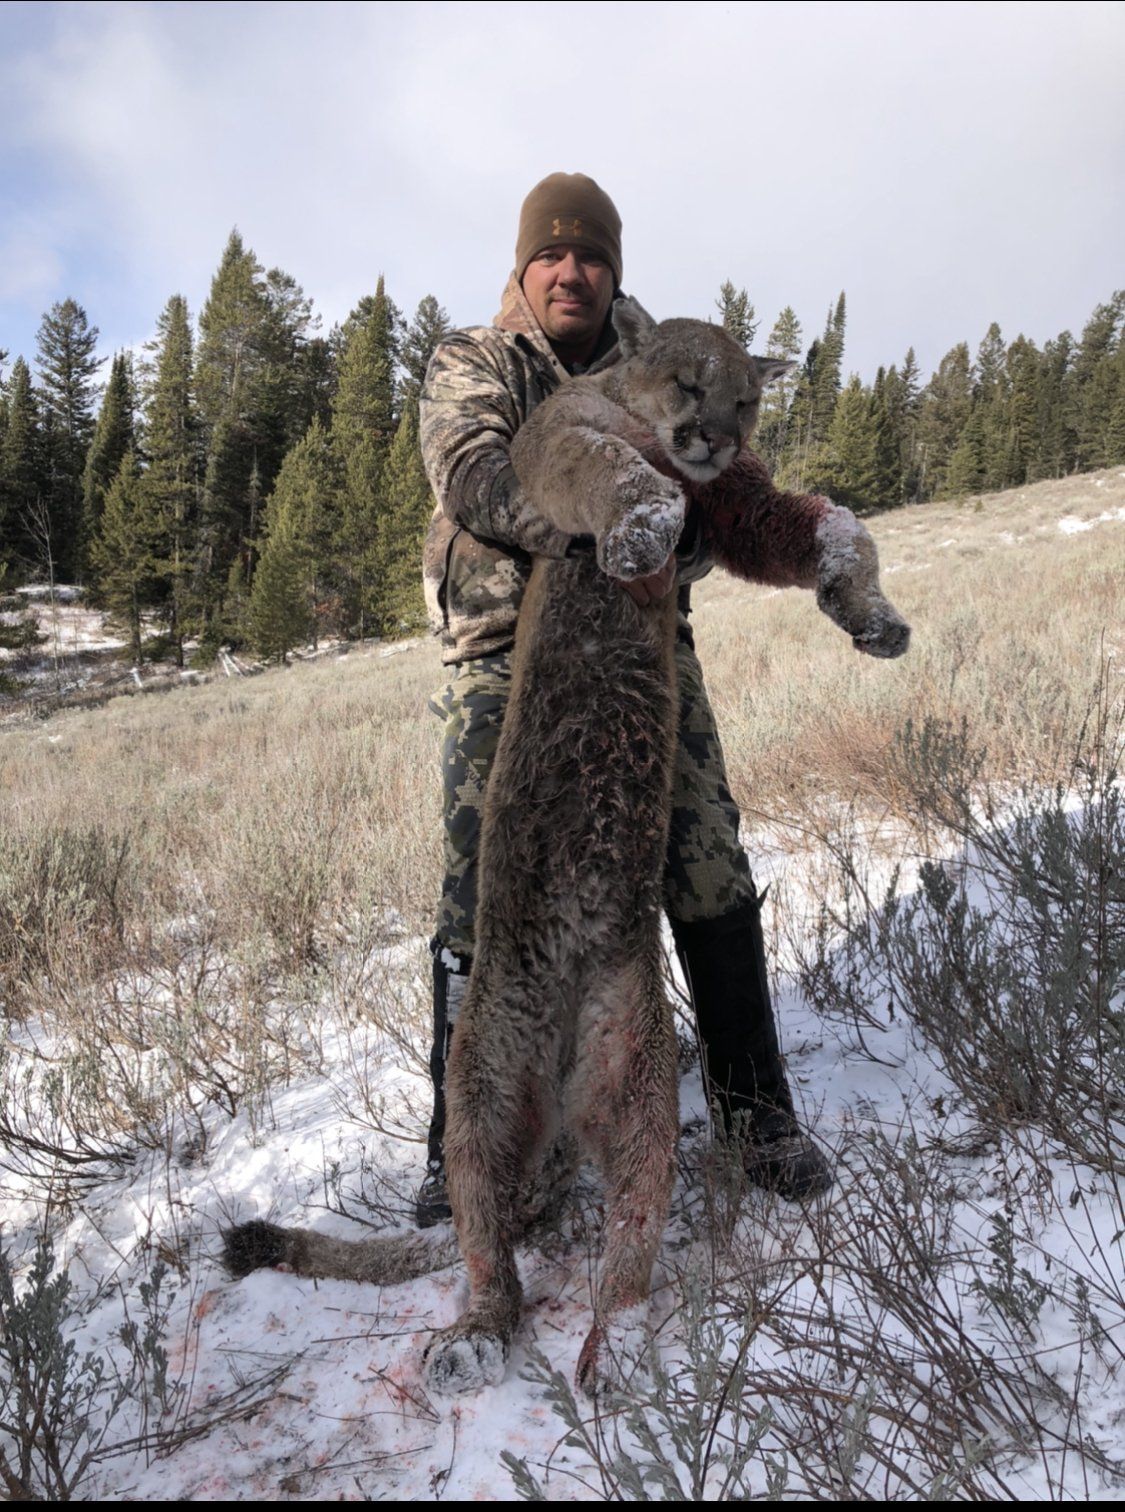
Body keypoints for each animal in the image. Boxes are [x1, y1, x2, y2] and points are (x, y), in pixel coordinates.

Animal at [223, 298, 909, 1400]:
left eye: (747, 400)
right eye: (688, 382)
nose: (714, 437)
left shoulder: (738, 506)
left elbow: (833, 525)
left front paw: (873, 618)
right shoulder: (556, 450)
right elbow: (611, 469)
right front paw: (639, 529)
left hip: (631, 1080)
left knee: (626, 1242)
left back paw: (611, 1353)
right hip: (478, 1091)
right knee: (486, 1250)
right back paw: (475, 1339)